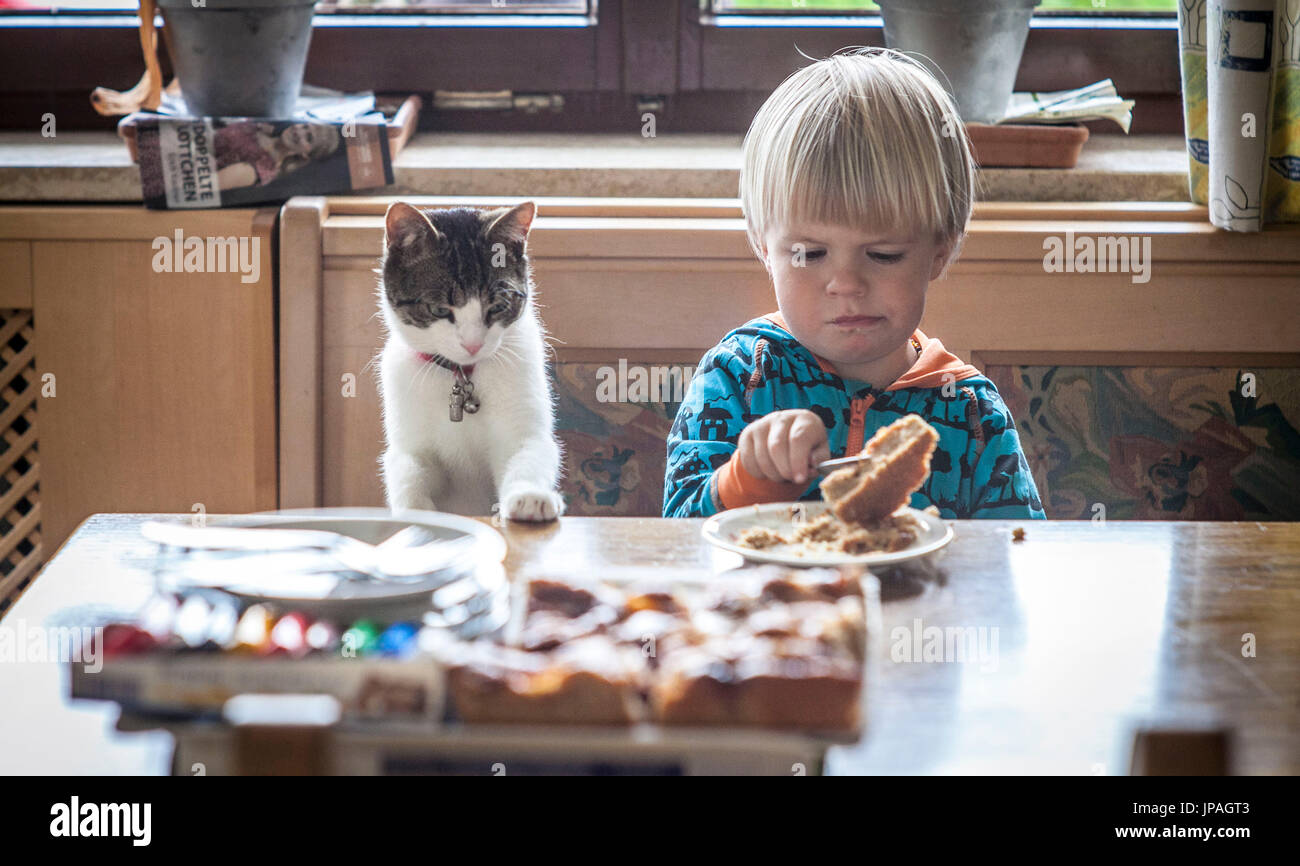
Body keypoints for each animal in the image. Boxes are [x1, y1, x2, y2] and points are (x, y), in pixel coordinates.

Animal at [374, 202, 561, 520]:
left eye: (498, 306)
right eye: (439, 309)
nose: (473, 344)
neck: (460, 375)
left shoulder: (523, 415)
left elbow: (527, 451)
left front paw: (529, 495)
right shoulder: (410, 440)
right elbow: (410, 470)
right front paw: (415, 510)